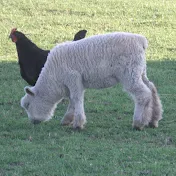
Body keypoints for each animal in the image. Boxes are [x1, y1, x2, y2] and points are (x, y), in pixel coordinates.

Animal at [20, 32, 162, 130]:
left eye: (28, 105)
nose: (33, 122)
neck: (53, 79)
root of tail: (141, 41)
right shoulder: (76, 82)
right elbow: (72, 100)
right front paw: (67, 119)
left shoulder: (73, 78)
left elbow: (76, 98)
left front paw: (78, 124)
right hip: (140, 71)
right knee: (152, 89)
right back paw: (153, 120)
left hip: (130, 73)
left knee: (143, 95)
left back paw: (139, 123)